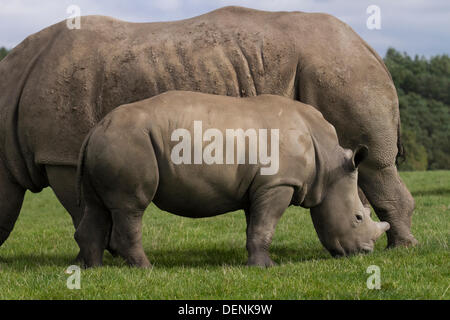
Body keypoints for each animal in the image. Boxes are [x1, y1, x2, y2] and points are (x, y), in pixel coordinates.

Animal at [75, 91, 388, 268]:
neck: (328, 163)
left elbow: (256, 226)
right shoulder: (279, 183)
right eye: (358, 217)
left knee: (97, 207)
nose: (366, 252)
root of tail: (94, 130)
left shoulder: (260, 187)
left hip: (109, 141)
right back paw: (146, 269)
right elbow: (265, 226)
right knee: (132, 207)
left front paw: (255, 263)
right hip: (128, 141)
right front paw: (267, 268)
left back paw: (95, 270)